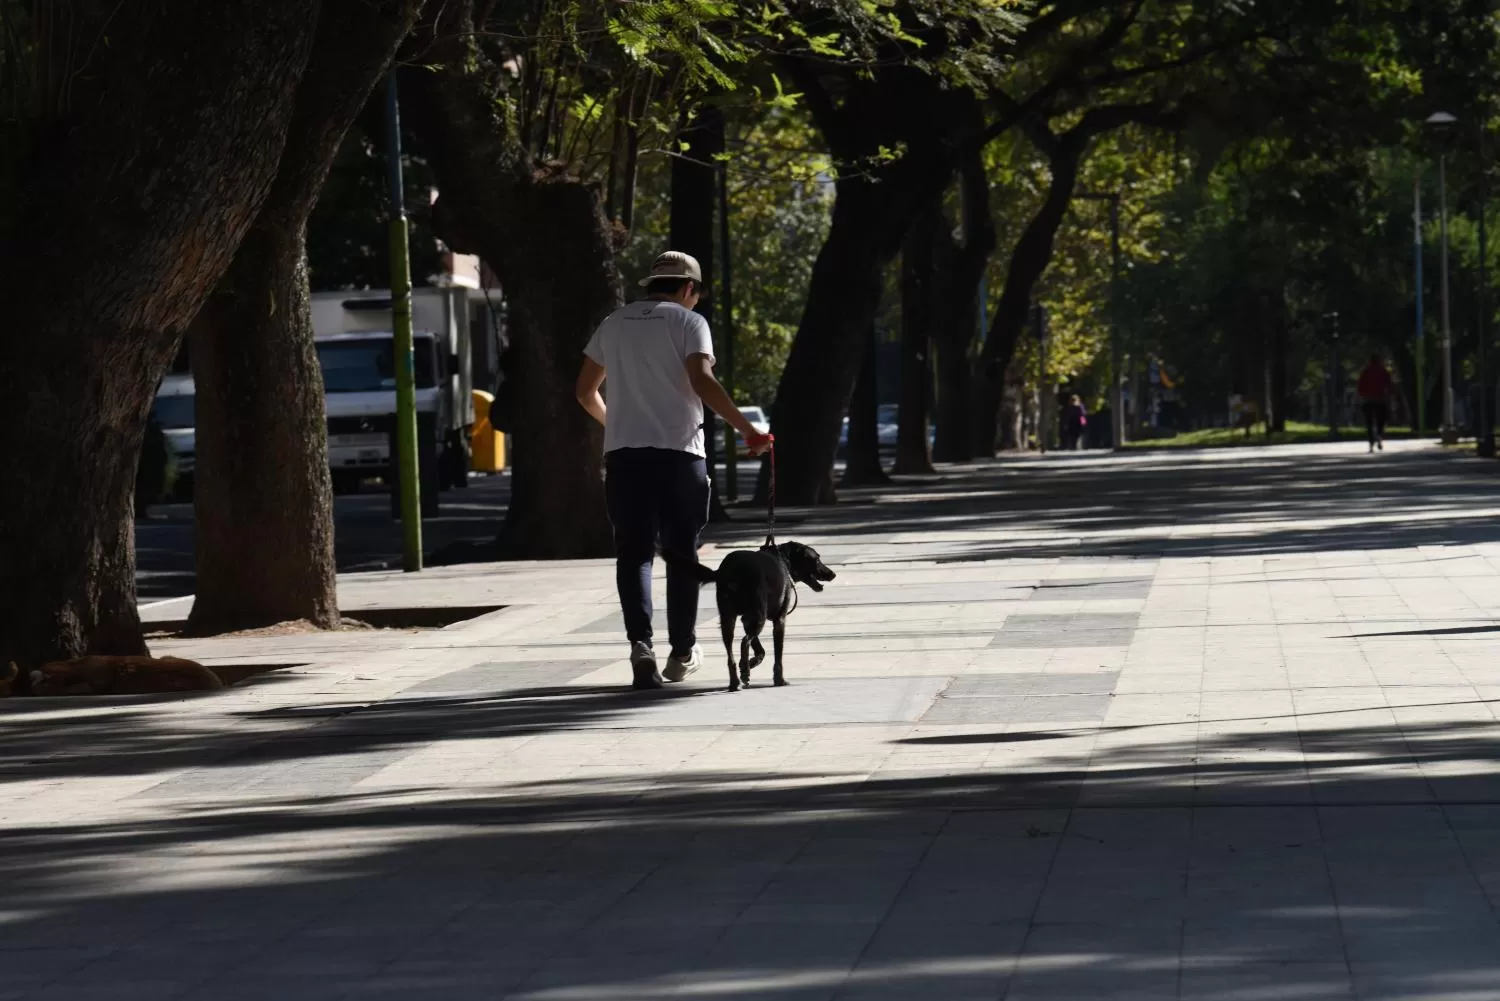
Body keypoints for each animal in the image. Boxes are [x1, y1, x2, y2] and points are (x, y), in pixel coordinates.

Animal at [666, 540, 834, 690]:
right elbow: (777, 654)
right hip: (758, 616)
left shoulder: (746, 619)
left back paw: (735, 681)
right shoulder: (778, 620)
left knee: (731, 653)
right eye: (816, 559)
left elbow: (760, 649)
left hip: (729, 620)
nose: (833, 574)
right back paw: (745, 674)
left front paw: (748, 662)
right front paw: (778, 679)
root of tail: (730, 570)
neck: (783, 559)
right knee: (744, 642)